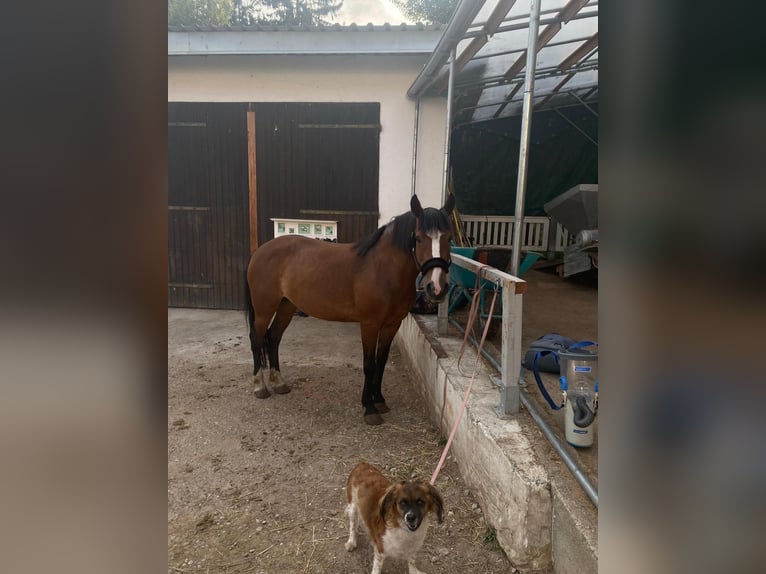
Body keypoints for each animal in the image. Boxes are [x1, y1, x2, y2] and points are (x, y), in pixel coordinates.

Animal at [248, 196, 456, 426]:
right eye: (418, 238)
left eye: (450, 238)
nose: (436, 288)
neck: (384, 270)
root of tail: (260, 251)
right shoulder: (369, 324)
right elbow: (369, 364)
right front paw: (369, 408)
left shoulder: (392, 324)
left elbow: (381, 362)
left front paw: (379, 400)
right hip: (264, 309)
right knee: (257, 339)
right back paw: (260, 386)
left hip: (286, 306)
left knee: (274, 338)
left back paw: (278, 383)